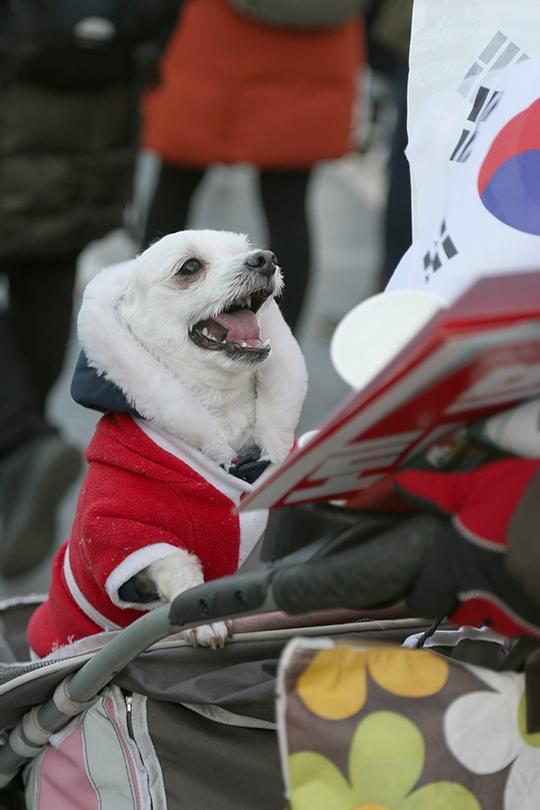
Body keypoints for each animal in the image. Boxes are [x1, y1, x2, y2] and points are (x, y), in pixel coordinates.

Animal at [27, 230, 307, 656]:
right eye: (190, 267)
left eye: (248, 249)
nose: (265, 259)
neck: (221, 414)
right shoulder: (123, 530)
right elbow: (177, 562)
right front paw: (202, 617)